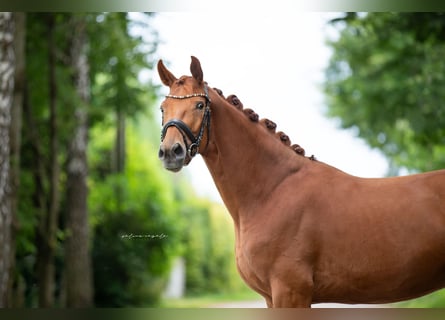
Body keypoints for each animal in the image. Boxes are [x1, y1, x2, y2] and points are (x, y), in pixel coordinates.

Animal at [156, 56, 444, 306]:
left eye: (199, 105)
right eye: (163, 108)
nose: (171, 152)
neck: (273, 190)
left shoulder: (291, 291)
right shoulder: (272, 298)